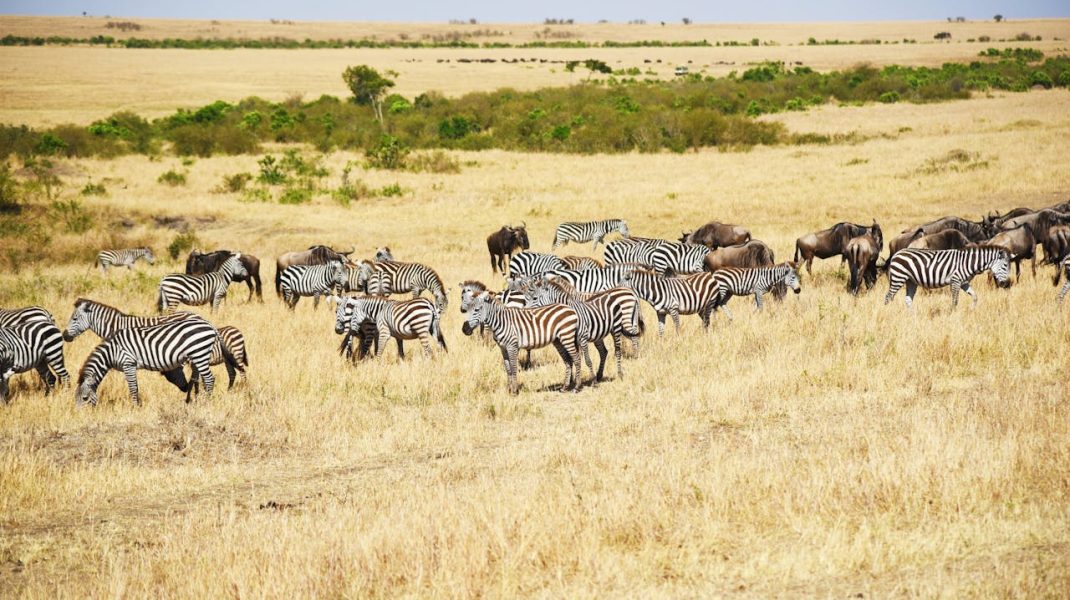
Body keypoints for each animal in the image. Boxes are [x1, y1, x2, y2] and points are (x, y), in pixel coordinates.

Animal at [74, 316, 217, 404]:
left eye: (85, 398)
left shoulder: (128, 363)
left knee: (210, 378)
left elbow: (133, 387)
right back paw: (195, 400)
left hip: (199, 353)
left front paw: (135, 406)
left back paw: (207, 402)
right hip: (197, 355)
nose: (80, 416)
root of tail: (210, 325)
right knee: (198, 378)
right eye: (75, 398)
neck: (111, 351)